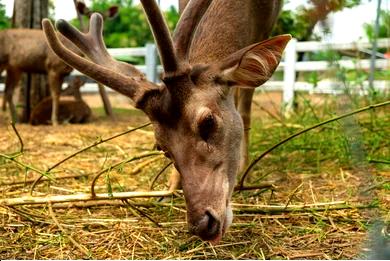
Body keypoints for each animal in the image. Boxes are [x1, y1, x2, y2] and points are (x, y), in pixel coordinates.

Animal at [42, 0, 290, 243]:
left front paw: (244, 171)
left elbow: (245, 106)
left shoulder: (265, 25)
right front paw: (170, 188)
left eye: (208, 122)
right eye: (161, 146)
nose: (202, 225)